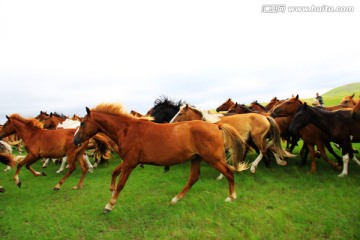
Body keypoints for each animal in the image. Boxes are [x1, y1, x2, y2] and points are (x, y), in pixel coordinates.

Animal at [72, 103, 248, 214]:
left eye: (82, 123)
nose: (75, 141)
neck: (128, 131)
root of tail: (216, 126)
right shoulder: (129, 161)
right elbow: (114, 172)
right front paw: (111, 189)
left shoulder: (130, 163)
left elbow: (121, 184)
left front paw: (109, 205)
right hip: (196, 158)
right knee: (193, 178)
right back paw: (175, 200)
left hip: (213, 159)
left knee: (229, 172)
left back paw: (231, 197)